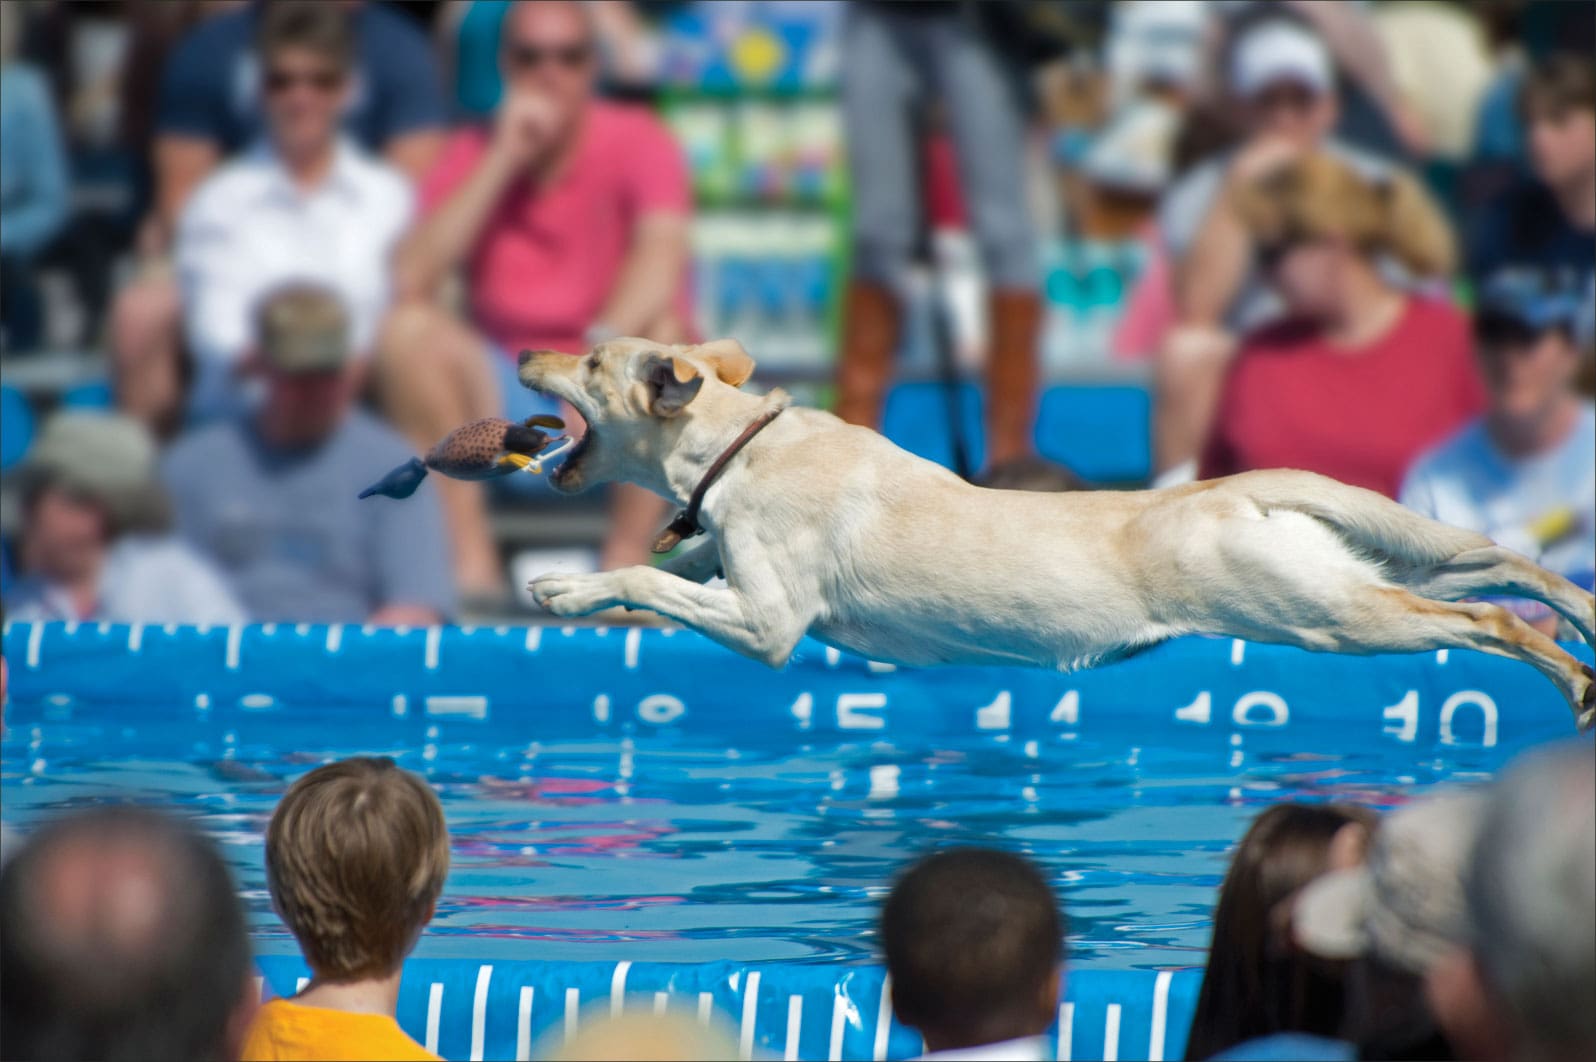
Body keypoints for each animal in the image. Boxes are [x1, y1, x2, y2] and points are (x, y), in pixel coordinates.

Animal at [520, 336, 1596, 728]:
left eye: (591, 359)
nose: (528, 353)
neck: (736, 447)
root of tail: (1240, 487)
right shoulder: (732, 578)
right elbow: (670, 562)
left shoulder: (767, 622)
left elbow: (652, 582)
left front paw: (572, 586)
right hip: (1368, 572)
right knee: (1507, 565)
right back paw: (1581, 618)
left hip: (1325, 614)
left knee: (1494, 623)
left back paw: (1572, 678)